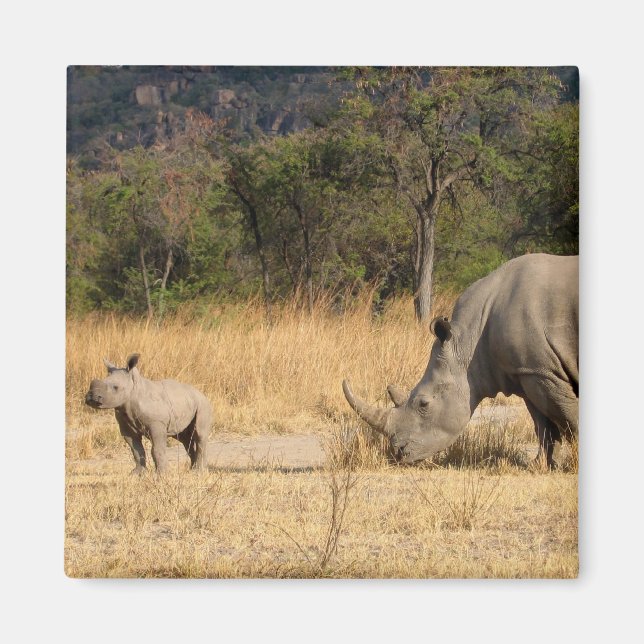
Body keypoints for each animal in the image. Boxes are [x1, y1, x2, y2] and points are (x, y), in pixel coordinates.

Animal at [343, 253, 578, 468]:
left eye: (423, 404)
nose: (399, 452)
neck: (467, 344)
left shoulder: (541, 371)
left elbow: (567, 415)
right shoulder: (529, 370)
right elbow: (543, 423)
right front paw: (540, 466)